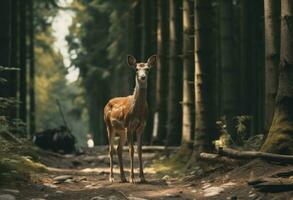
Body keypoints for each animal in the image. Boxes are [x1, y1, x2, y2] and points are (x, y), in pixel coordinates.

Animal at [104, 54, 156, 183]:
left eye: (147, 69)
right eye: (136, 69)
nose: (142, 77)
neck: (137, 111)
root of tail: (107, 103)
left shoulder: (142, 126)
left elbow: (139, 150)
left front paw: (142, 178)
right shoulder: (129, 125)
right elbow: (131, 150)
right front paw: (133, 178)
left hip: (121, 130)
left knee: (118, 149)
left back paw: (123, 177)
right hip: (109, 126)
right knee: (111, 150)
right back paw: (112, 177)